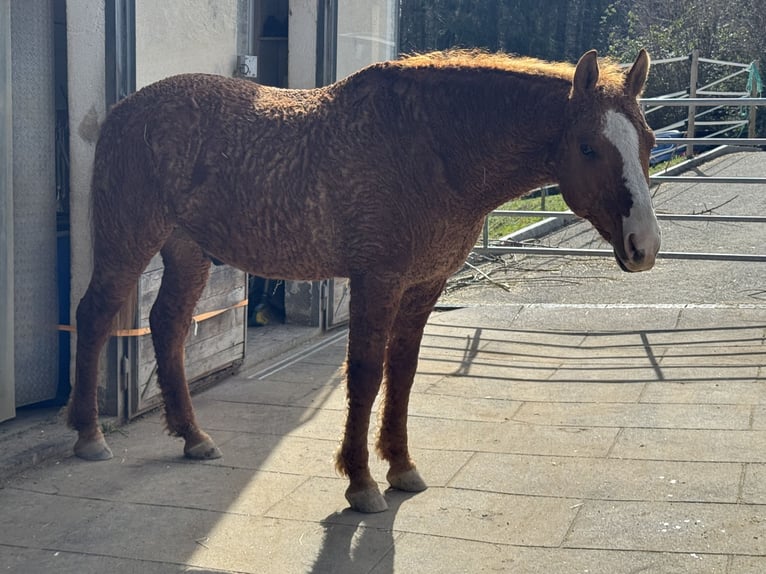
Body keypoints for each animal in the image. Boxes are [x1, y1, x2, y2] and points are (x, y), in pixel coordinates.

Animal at [67, 49, 660, 513]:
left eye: (649, 141)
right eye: (588, 146)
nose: (644, 247)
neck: (434, 148)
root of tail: (125, 110)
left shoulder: (424, 285)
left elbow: (402, 375)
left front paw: (400, 465)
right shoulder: (377, 280)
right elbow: (366, 375)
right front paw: (360, 482)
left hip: (188, 253)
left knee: (167, 327)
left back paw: (193, 437)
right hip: (128, 242)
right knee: (93, 316)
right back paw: (89, 436)